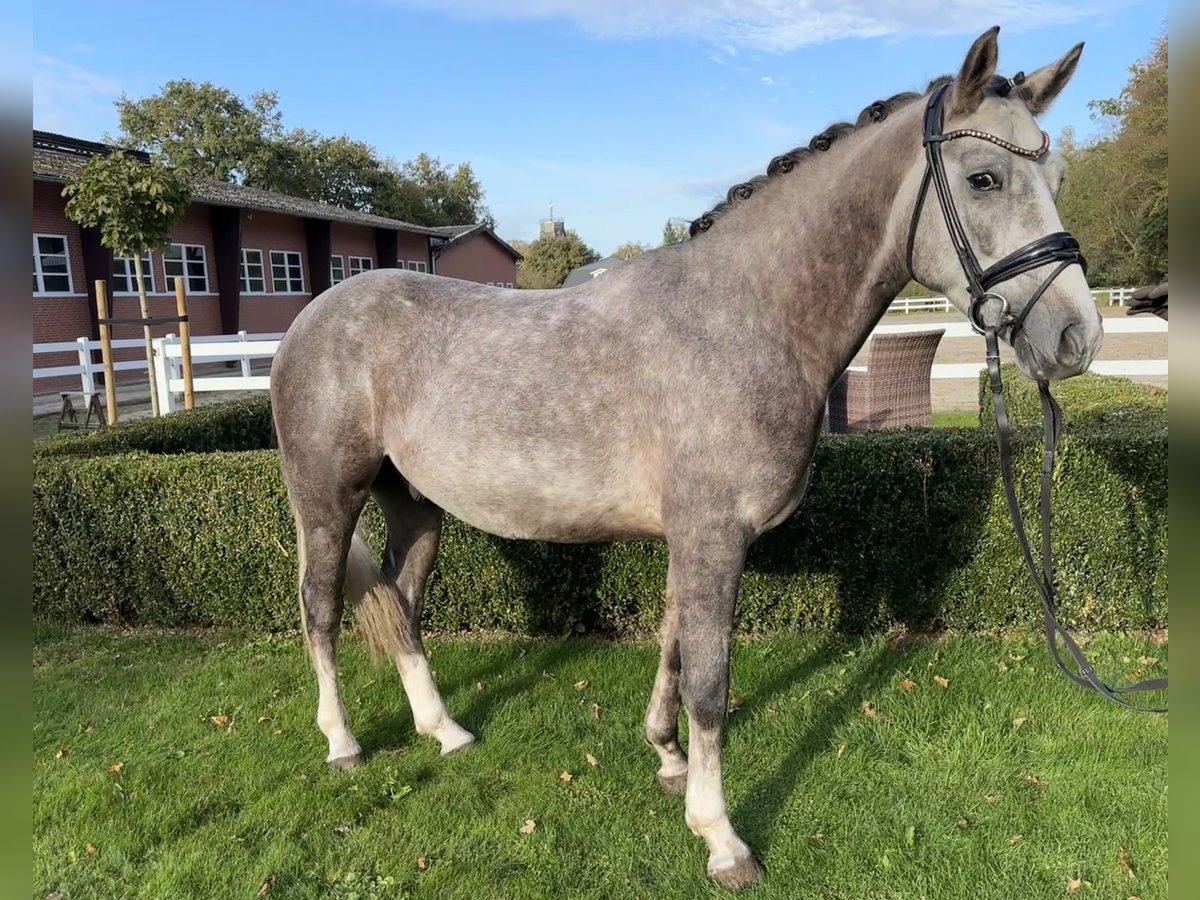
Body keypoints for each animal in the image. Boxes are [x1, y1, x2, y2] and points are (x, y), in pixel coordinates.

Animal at [270, 24, 1099, 892]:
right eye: (984, 177)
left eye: (1059, 177)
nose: (1076, 337)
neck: (745, 318)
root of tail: (313, 317)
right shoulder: (713, 537)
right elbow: (710, 682)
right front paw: (721, 837)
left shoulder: (690, 540)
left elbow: (671, 647)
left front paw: (667, 761)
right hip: (327, 500)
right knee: (319, 609)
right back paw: (344, 744)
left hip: (416, 506)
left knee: (403, 604)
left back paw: (445, 730)